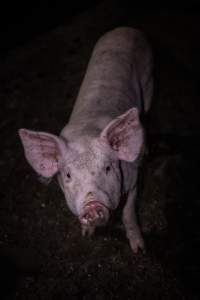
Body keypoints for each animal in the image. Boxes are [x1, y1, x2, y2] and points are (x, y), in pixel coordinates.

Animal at [18, 27, 153, 253]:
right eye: (68, 175)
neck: (87, 132)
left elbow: (128, 213)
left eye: (107, 168)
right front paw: (87, 235)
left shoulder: (134, 179)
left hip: (150, 82)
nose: (92, 205)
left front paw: (140, 250)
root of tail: (125, 28)